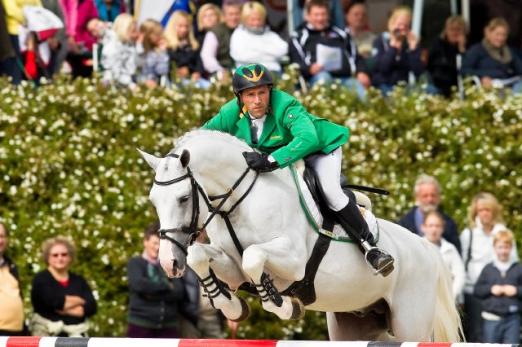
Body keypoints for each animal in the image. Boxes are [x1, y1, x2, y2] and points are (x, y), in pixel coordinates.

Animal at [137, 130, 460, 342]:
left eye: (182, 198)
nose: (168, 263)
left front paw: (284, 305)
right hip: (354, 322)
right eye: (153, 200)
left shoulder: (293, 262)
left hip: (410, 321)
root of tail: (425, 247)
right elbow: (200, 256)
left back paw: (379, 258)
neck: (238, 202)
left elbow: (254, 256)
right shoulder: (232, 266)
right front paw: (231, 306)